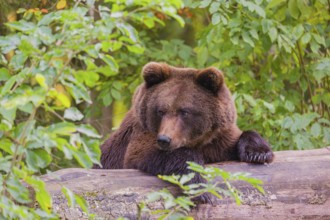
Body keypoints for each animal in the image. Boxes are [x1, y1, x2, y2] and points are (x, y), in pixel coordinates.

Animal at [96, 62, 274, 203]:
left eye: (185, 111)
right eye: (160, 110)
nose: (164, 139)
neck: (197, 141)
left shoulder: (218, 140)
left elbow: (239, 139)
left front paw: (258, 153)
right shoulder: (140, 137)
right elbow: (154, 154)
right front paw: (201, 189)